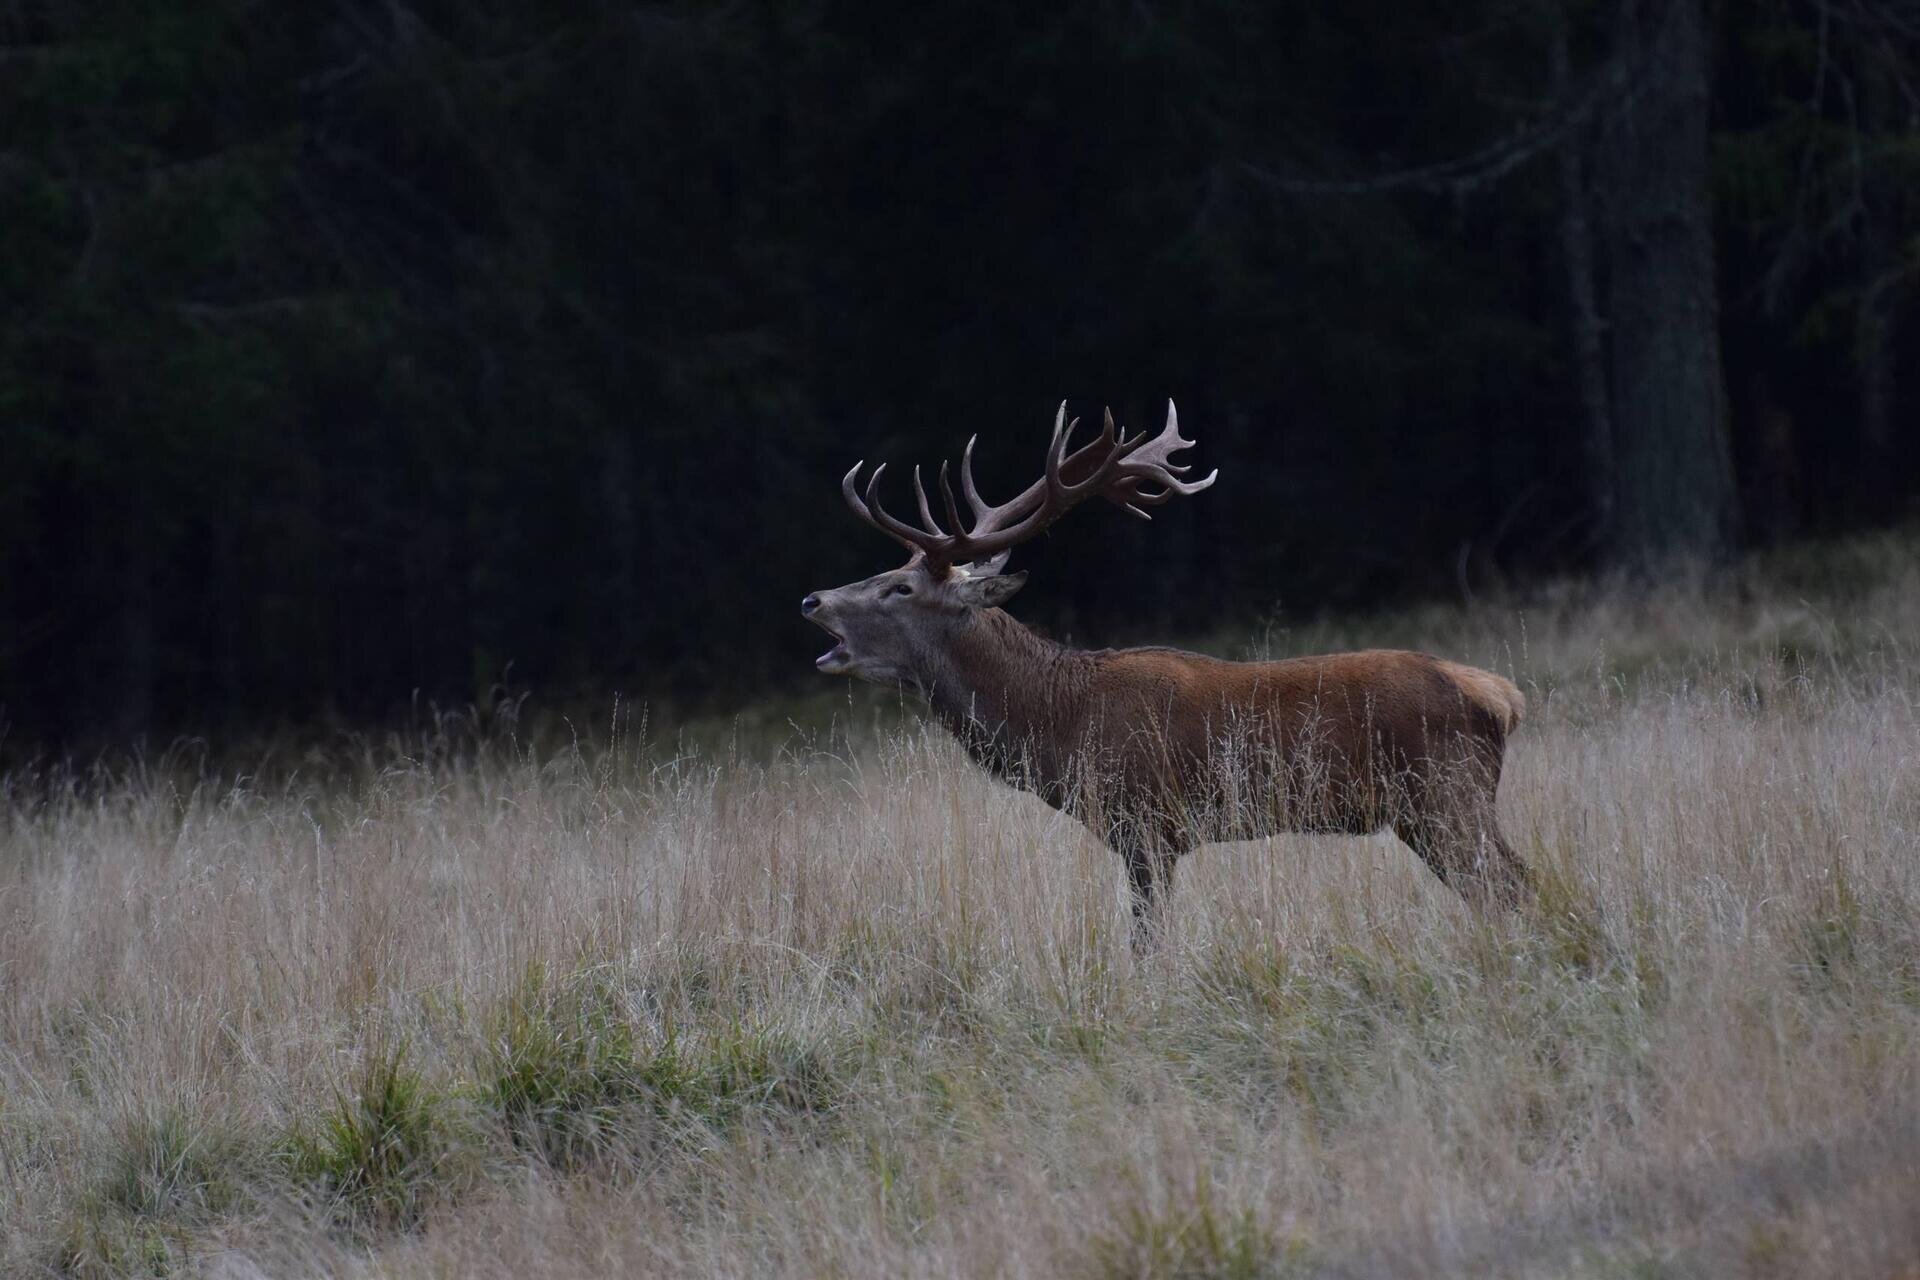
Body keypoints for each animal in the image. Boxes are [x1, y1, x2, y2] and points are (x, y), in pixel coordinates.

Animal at [801, 402, 1533, 948]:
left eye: (899, 587)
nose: (812, 600)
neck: (1060, 723)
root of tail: (1503, 696)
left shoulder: (1147, 825)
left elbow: (1146, 943)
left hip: (1446, 793)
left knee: (1514, 885)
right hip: (1427, 810)